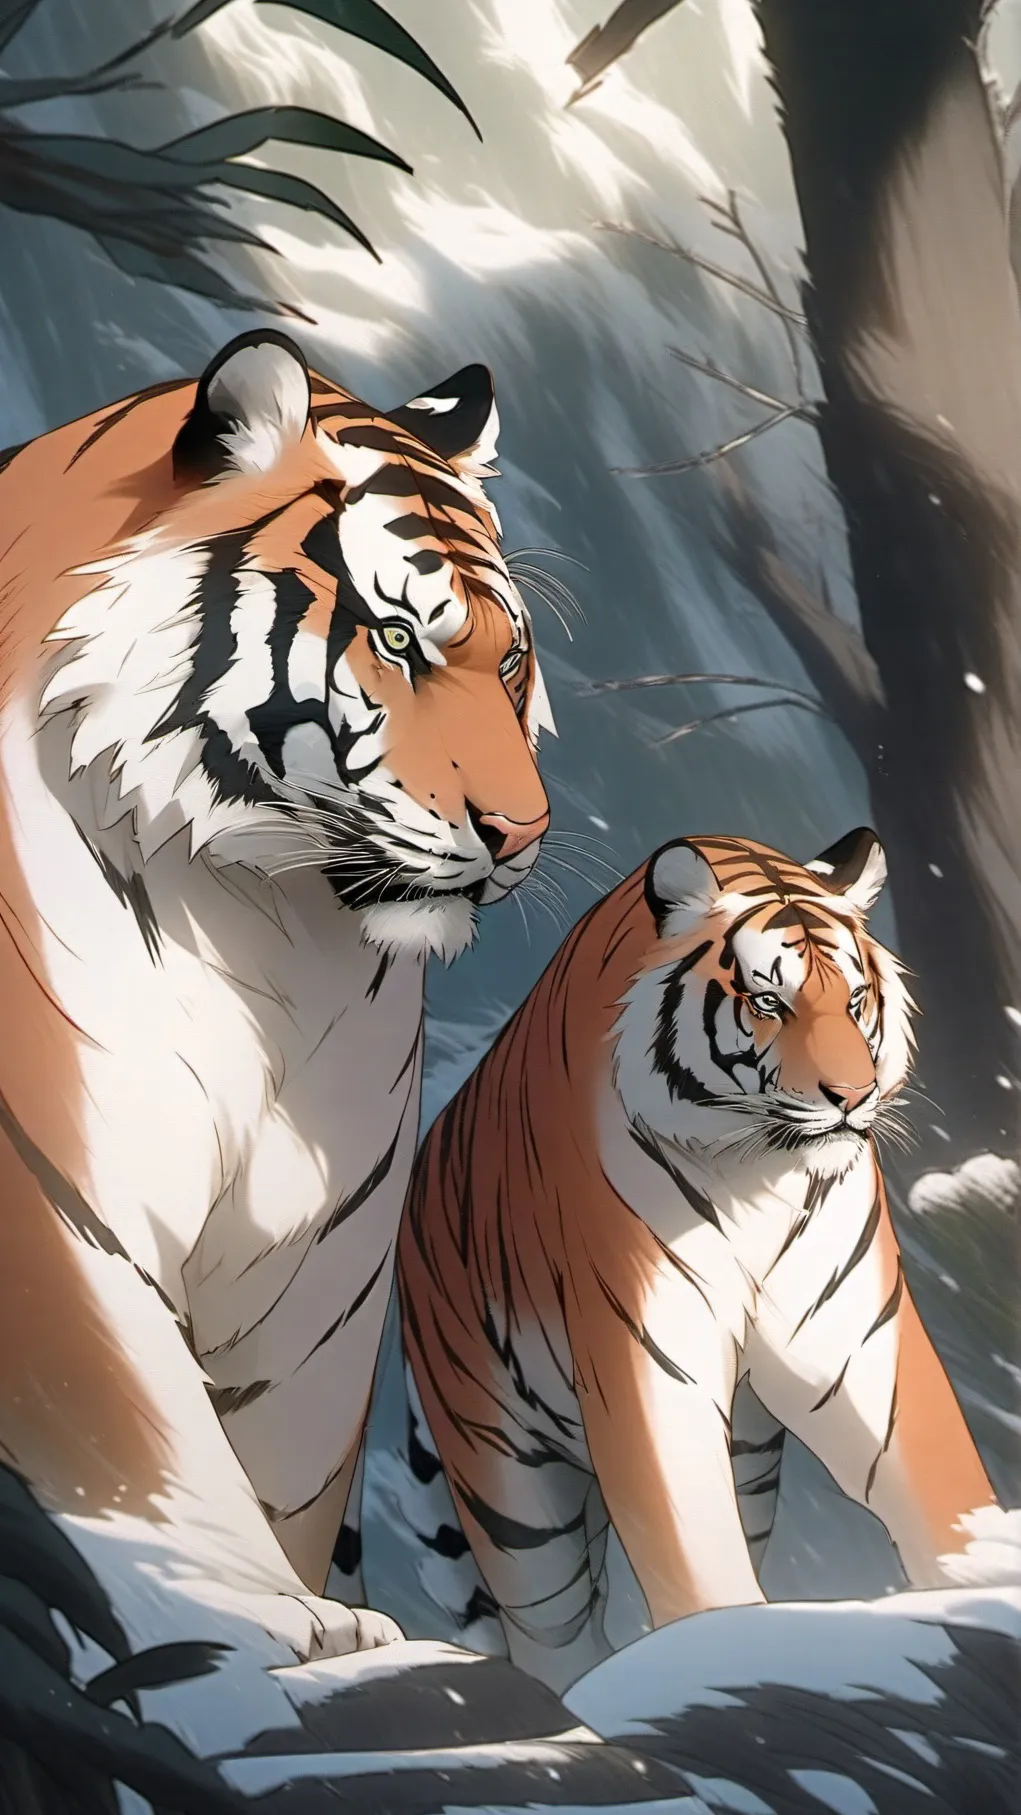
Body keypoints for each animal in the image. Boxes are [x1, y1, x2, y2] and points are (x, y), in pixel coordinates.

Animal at [0, 328, 552, 1665]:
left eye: (507, 657)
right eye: (398, 641)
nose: (522, 832)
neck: (264, 935)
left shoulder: (321, 1267)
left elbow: (287, 1463)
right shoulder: (53, 1194)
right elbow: (131, 1423)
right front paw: (239, 1610)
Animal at [397, 828, 1000, 1692]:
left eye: (855, 1002)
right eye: (769, 1002)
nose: (851, 1096)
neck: (760, 1175)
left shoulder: (862, 1348)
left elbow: (944, 1496)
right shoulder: (648, 1366)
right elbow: (688, 1555)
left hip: (744, 1458)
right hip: (507, 1482)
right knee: (551, 1631)